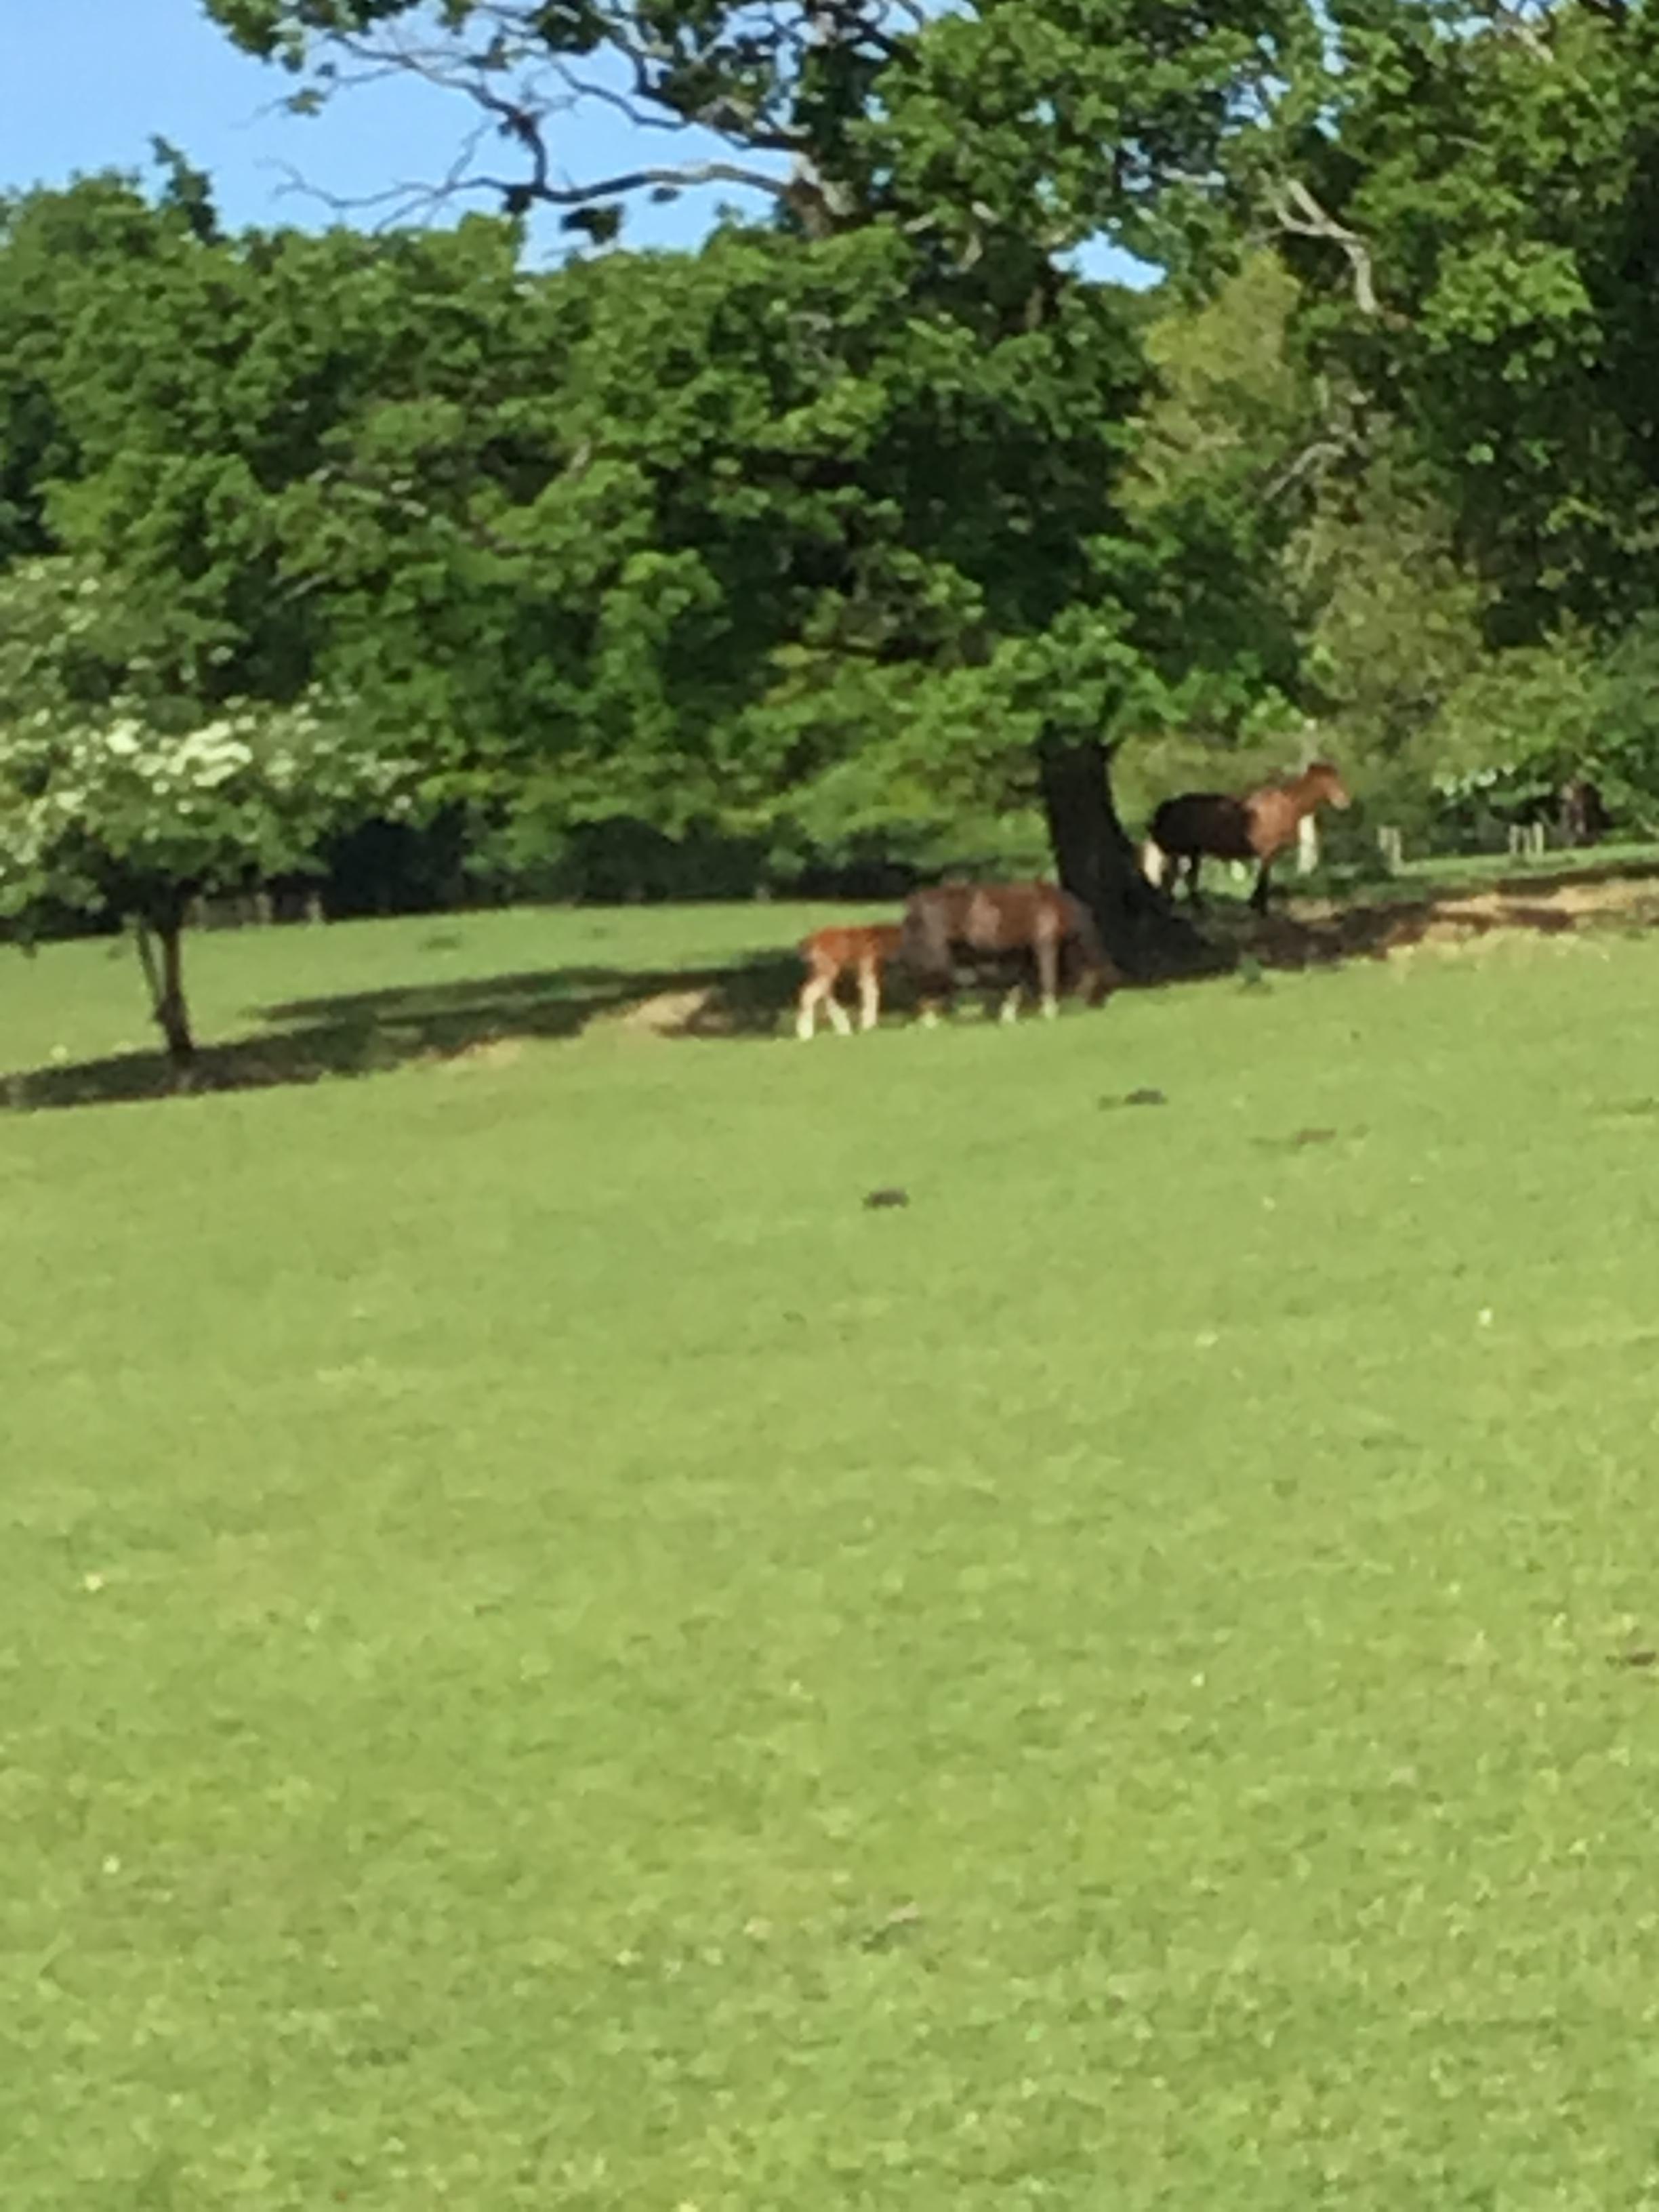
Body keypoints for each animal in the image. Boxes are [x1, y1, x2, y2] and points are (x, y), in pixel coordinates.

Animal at [795, 922, 904, 1039]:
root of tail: (812, 940)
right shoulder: (867, 966)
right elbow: (871, 992)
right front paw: (868, 1027)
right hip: (826, 970)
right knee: (810, 994)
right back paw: (806, 1034)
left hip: (818, 971)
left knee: (822, 993)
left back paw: (843, 1028)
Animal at [900, 882, 1119, 1025]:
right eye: (1106, 985)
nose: (1100, 1006)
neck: (1056, 907)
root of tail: (915, 903)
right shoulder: (1045, 945)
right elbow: (1047, 978)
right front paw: (1049, 1011)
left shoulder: (1021, 955)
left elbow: (1016, 985)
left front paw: (1008, 1015)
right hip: (936, 957)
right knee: (925, 982)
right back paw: (930, 1020)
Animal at [1147, 760, 1352, 913]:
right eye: (1325, 781)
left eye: (1337, 778)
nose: (1344, 802)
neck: (1289, 806)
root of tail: (1170, 806)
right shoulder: (1268, 852)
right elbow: (1264, 879)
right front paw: (1261, 908)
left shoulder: (1269, 854)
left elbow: (1263, 879)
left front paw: (1254, 904)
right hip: (1182, 850)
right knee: (1175, 877)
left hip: (1191, 852)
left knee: (1180, 877)